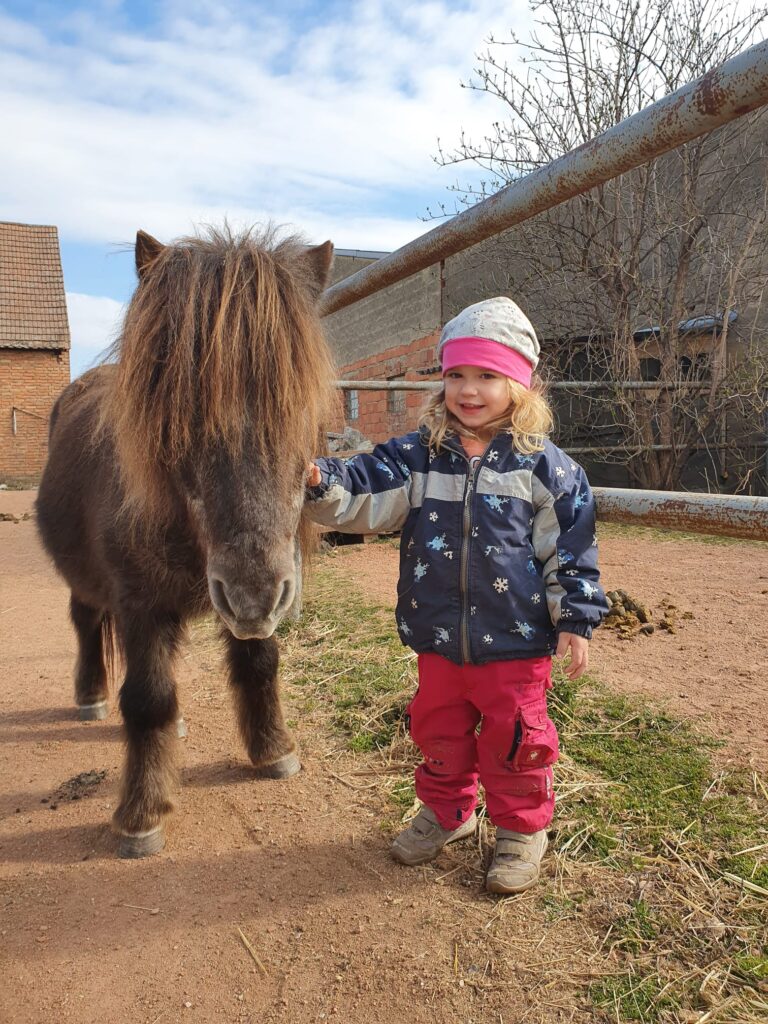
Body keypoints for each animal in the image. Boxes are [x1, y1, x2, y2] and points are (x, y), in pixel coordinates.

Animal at [36, 228, 335, 860]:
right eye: (183, 414)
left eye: (299, 406)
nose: (252, 594)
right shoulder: (138, 604)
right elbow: (147, 699)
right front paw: (141, 816)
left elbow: (259, 662)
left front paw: (273, 750)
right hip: (91, 586)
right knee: (86, 623)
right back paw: (91, 696)